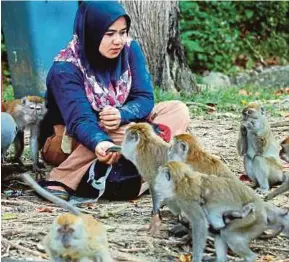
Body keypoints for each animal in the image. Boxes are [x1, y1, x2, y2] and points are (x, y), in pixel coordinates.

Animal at [154, 162, 288, 262]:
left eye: (160, 175)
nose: (156, 182)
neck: (182, 180)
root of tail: (262, 206)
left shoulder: (186, 199)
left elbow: (200, 223)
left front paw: (196, 258)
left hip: (254, 220)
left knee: (229, 234)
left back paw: (250, 256)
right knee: (220, 233)